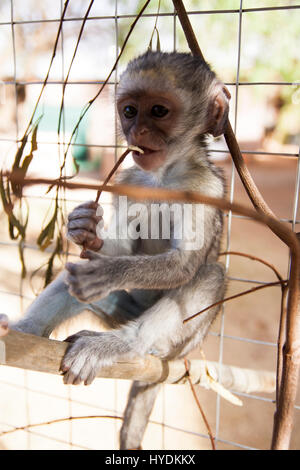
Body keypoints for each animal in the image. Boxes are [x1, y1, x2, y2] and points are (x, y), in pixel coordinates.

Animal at [5, 50, 230, 448]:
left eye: (158, 111)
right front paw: (82, 227)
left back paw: (122, 345)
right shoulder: (130, 180)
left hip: (183, 343)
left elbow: (185, 264)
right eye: (129, 111)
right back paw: (24, 331)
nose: (135, 132)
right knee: (71, 279)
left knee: (209, 275)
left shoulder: (205, 186)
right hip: (121, 310)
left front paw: (108, 272)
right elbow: (115, 246)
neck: (162, 176)